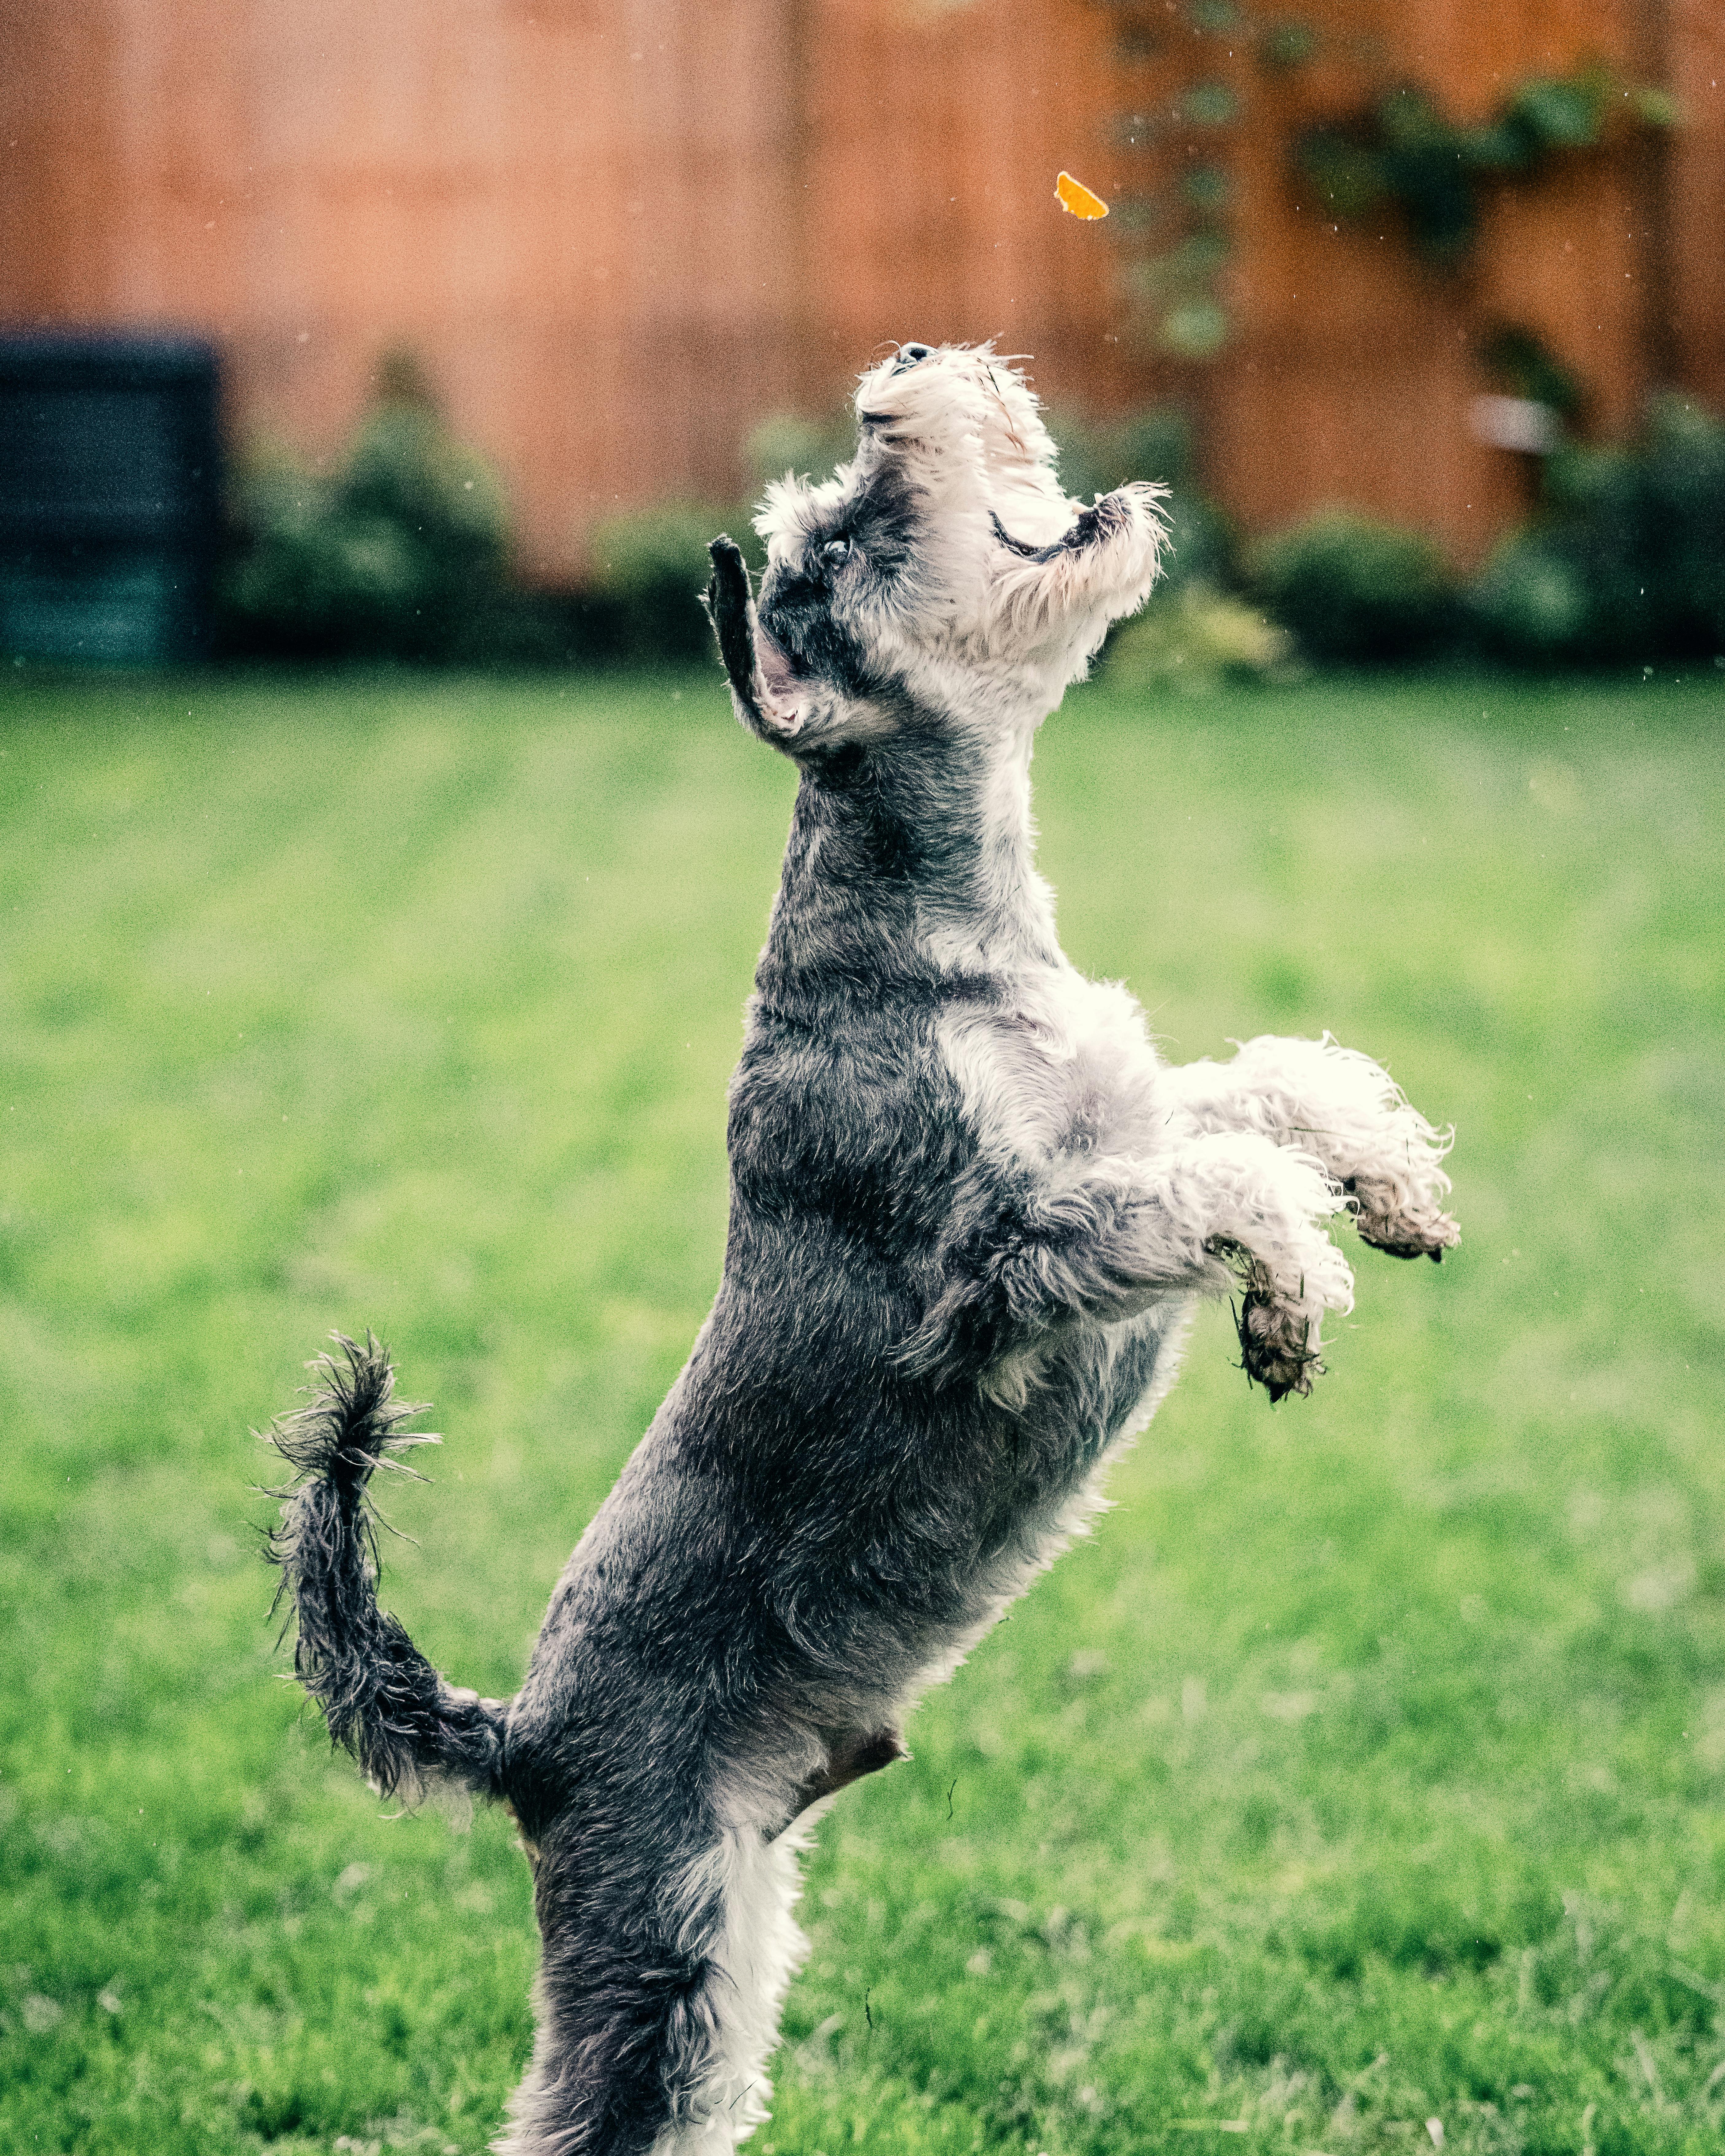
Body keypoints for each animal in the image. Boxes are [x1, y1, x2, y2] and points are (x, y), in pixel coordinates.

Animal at [266, 340, 1457, 2156]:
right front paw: (1294, 1293)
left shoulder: (1123, 1109)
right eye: (832, 538)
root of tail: (516, 1737)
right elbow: (1214, 1184)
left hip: (731, 1946)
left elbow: (1266, 1087)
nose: (899, 371)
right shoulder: (998, 1260)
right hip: (657, 1942)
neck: (940, 929)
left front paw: (1392, 1189)